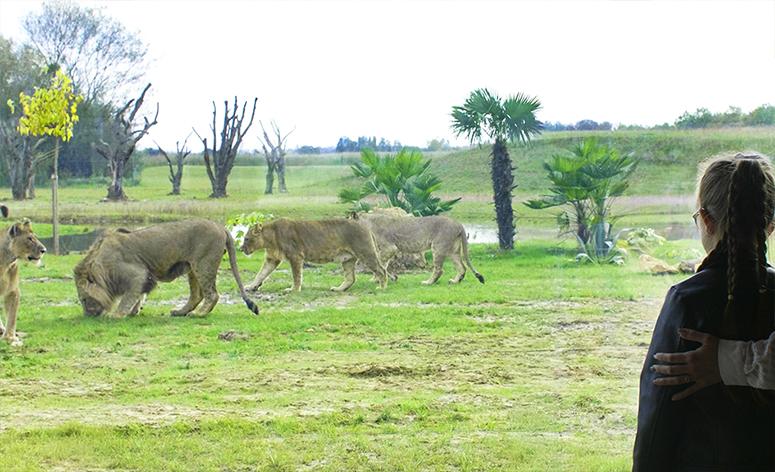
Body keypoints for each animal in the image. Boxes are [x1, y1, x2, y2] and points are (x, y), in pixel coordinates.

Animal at [0, 211, 47, 346]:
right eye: (29, 239)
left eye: (35, 237)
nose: (44, 250)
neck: (6, 261)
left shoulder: (12, 289)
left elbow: (12, 315)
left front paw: (10, 337)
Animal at [73, 219, 258, 318]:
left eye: (84, 299)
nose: (87, 316)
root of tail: (221, 226)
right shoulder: (145, 277)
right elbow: (138, 294)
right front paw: (134, 311)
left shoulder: (138, 273)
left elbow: (129, 296)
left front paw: (117, 315)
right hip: (192, 267)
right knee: (197, 295)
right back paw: (180, 312)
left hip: (204, 263)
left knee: (212, 294)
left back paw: (198, 314)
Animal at [240, 218, 388, 292]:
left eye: (246, 239)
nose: (241, 249)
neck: (270, 239)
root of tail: (366, 227)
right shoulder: (271, 259)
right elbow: (261, 274)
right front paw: (251, 286)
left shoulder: (296, 256)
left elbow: (296, 276)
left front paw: (294, 290)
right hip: (348, 259)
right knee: (350, 278)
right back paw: (339, 289)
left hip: (366, 252)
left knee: (382, 270)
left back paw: (381, 287)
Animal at [354, 212, 484, 285]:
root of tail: (458, 223)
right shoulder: (387, 250)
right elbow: (383, 264)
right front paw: (378, 279)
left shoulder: (390, 248)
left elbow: (379, 262)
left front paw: (383, 278)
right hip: (453, 251)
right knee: (462, 267)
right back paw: (455, 281)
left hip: (438, 247)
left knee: (439, 270)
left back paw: (428, 282)